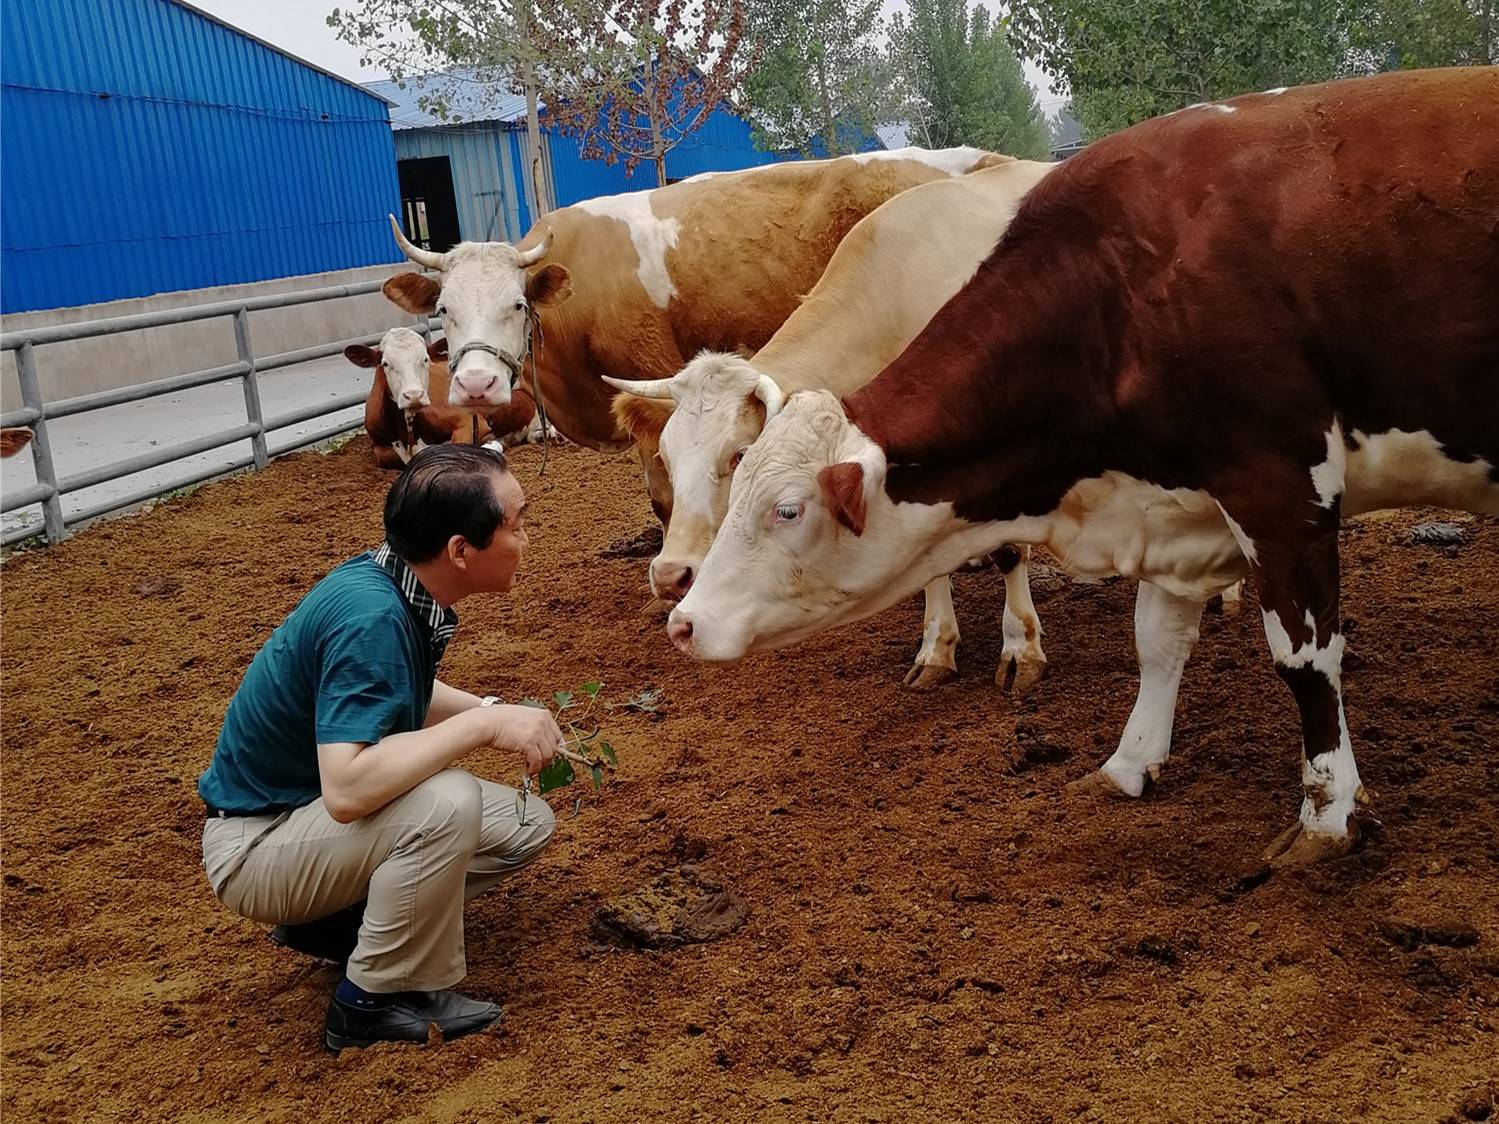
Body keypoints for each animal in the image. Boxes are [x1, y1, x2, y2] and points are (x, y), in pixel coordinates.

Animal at [605, 156, 1055, 686]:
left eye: (740, 455)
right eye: (666, 456)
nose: (670, 574)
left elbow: (1012, 552)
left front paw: (1021, 648)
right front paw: (936, 650)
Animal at [668, 68, 1499, 869]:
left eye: (783, 507)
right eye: (681, 463)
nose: (680, 614)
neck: (1125, 285)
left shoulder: (1278, 486)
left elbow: (1304, 662)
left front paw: (1326, 816)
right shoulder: (1175, 504)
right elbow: (1154, 639)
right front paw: (1126, 763)